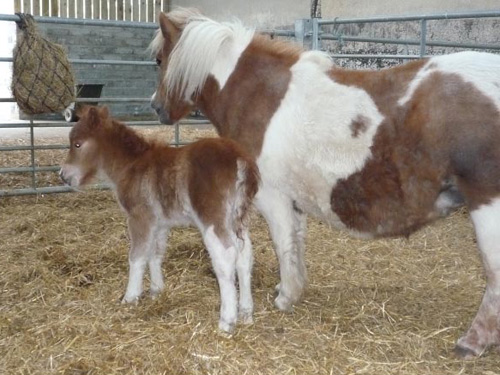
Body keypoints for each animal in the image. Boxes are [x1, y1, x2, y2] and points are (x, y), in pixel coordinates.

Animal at [60, 107, 260, 334]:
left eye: (77, 144)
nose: (63, 176)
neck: (131, 165)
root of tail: (240, 160)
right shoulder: (159, 223)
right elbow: (154, 254)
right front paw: (156, 291)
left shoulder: (139, 217)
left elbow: (137, 257)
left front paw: (130, 297)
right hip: (238, 219)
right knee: (245, 256)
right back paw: (246, 314)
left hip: (213, 219)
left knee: (226, 257)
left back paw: (227, 322)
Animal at [148, 7, 500, 356]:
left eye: (159, 60)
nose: (156, 107)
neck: (260, 94)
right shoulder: (293, 200)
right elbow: (296, 243)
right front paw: (290, 286)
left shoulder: (272, 197)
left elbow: (282, 243)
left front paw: (286, 297)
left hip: (487, 206)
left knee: (494, 273)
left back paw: (472, 342)